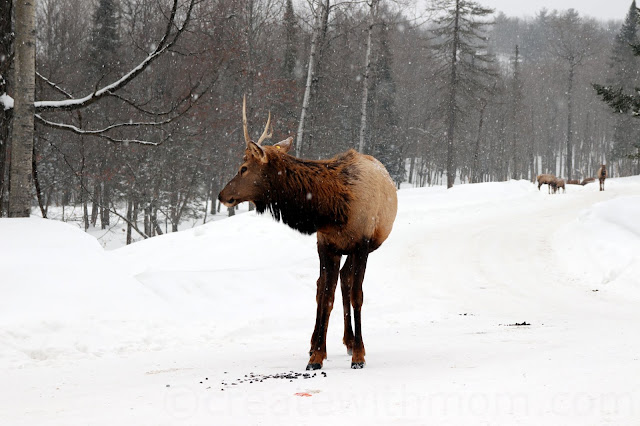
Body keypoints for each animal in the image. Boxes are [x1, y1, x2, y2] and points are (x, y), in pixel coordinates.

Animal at [218, 96, 398, 370]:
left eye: (244, 167)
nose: (222, 195)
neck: (335, 209)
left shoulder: (362, 244)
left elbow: (357, 295)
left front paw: (359, 355)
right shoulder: (325, 244)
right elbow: (325, 295)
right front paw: (316, 355)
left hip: (357, 249)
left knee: (345, 282)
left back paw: (350, 342)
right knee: (327, 285)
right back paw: (321, 342)